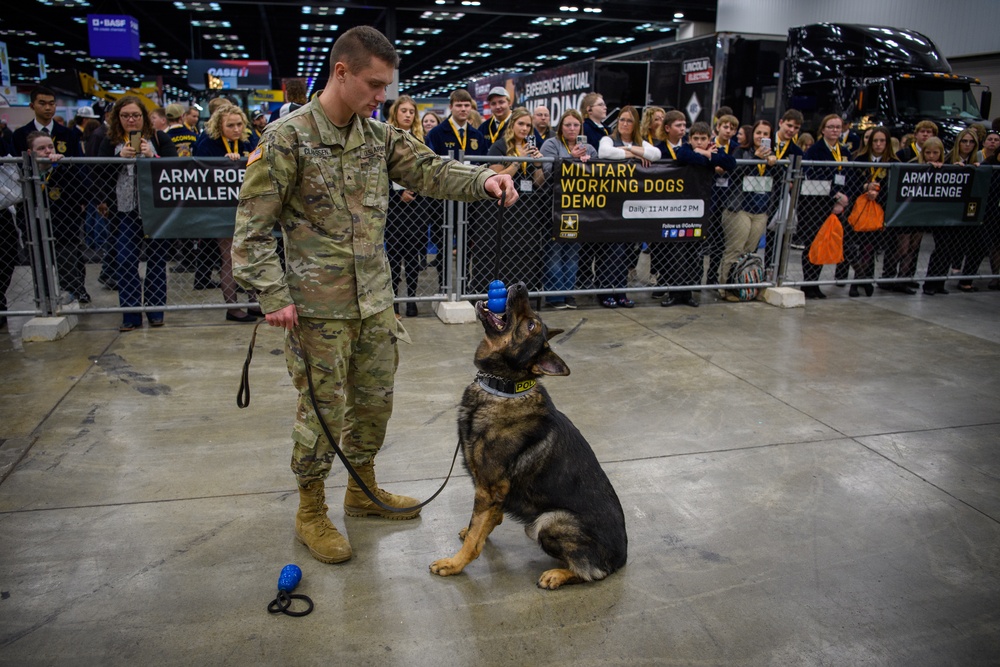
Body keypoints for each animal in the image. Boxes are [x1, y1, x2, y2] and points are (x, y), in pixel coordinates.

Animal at [430, 282, 624, 588]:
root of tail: (622, 558)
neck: (505, 388)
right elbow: (484, 524)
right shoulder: (495, 492)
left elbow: (475, 534)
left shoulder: (489, 488)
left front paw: (455, 563)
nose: (520, 285)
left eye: (531, 324)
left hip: (549, 521)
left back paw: (557, 574)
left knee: (593, 572)